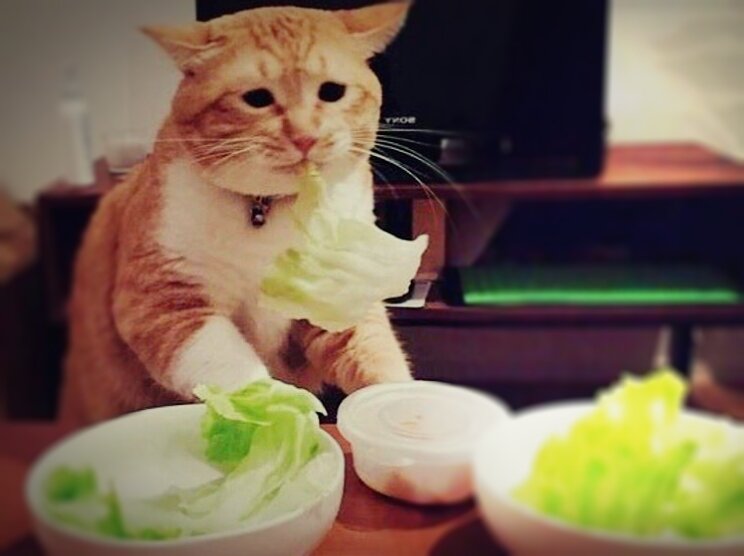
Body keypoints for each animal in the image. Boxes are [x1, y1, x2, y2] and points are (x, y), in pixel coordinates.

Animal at [62, 2, 415, 423]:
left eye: (332, 92)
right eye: (257, 98)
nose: (304, 137)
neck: (270, 208)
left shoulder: (341, 296)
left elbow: (378, 359)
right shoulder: (162, 304)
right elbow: (236, 372)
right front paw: (282, 414)